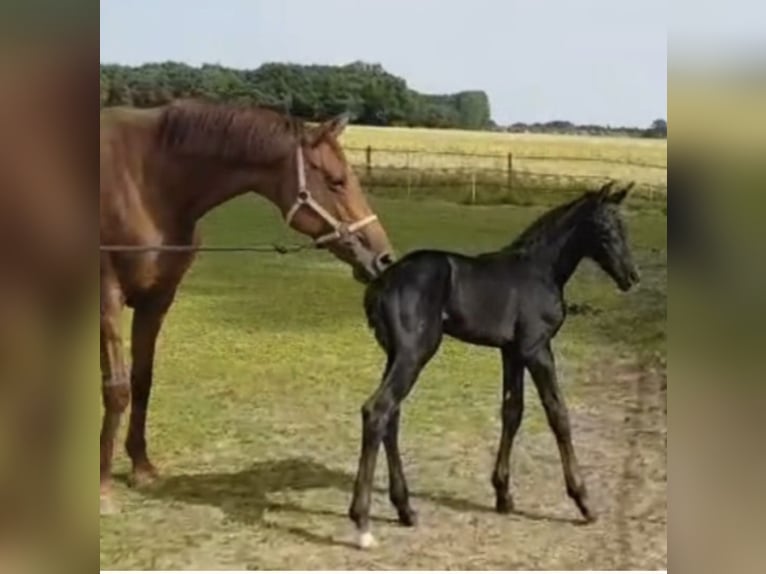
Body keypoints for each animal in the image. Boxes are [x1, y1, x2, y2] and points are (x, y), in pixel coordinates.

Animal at [100, 100, 394, 513]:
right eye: (336, 181)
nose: (383, 258)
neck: (147, 185)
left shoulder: (157, 300)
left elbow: (143, 380)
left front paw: (142, 467)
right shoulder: (107, 297)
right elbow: (117, 389)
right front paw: (103, 489)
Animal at [348, 181, 640, 548]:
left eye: (624, 226)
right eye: (605, 228)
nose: (631, 277)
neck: (539, 270)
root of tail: (381, 282)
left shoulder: (511, 351)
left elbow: (512, 412)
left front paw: (503, 495)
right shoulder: (536, 348)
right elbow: (558, 414)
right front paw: (584, 501)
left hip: (396, 355)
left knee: (391, 415)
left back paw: (405, 510)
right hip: (414, 353)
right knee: (377, 410)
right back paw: (362, 521)